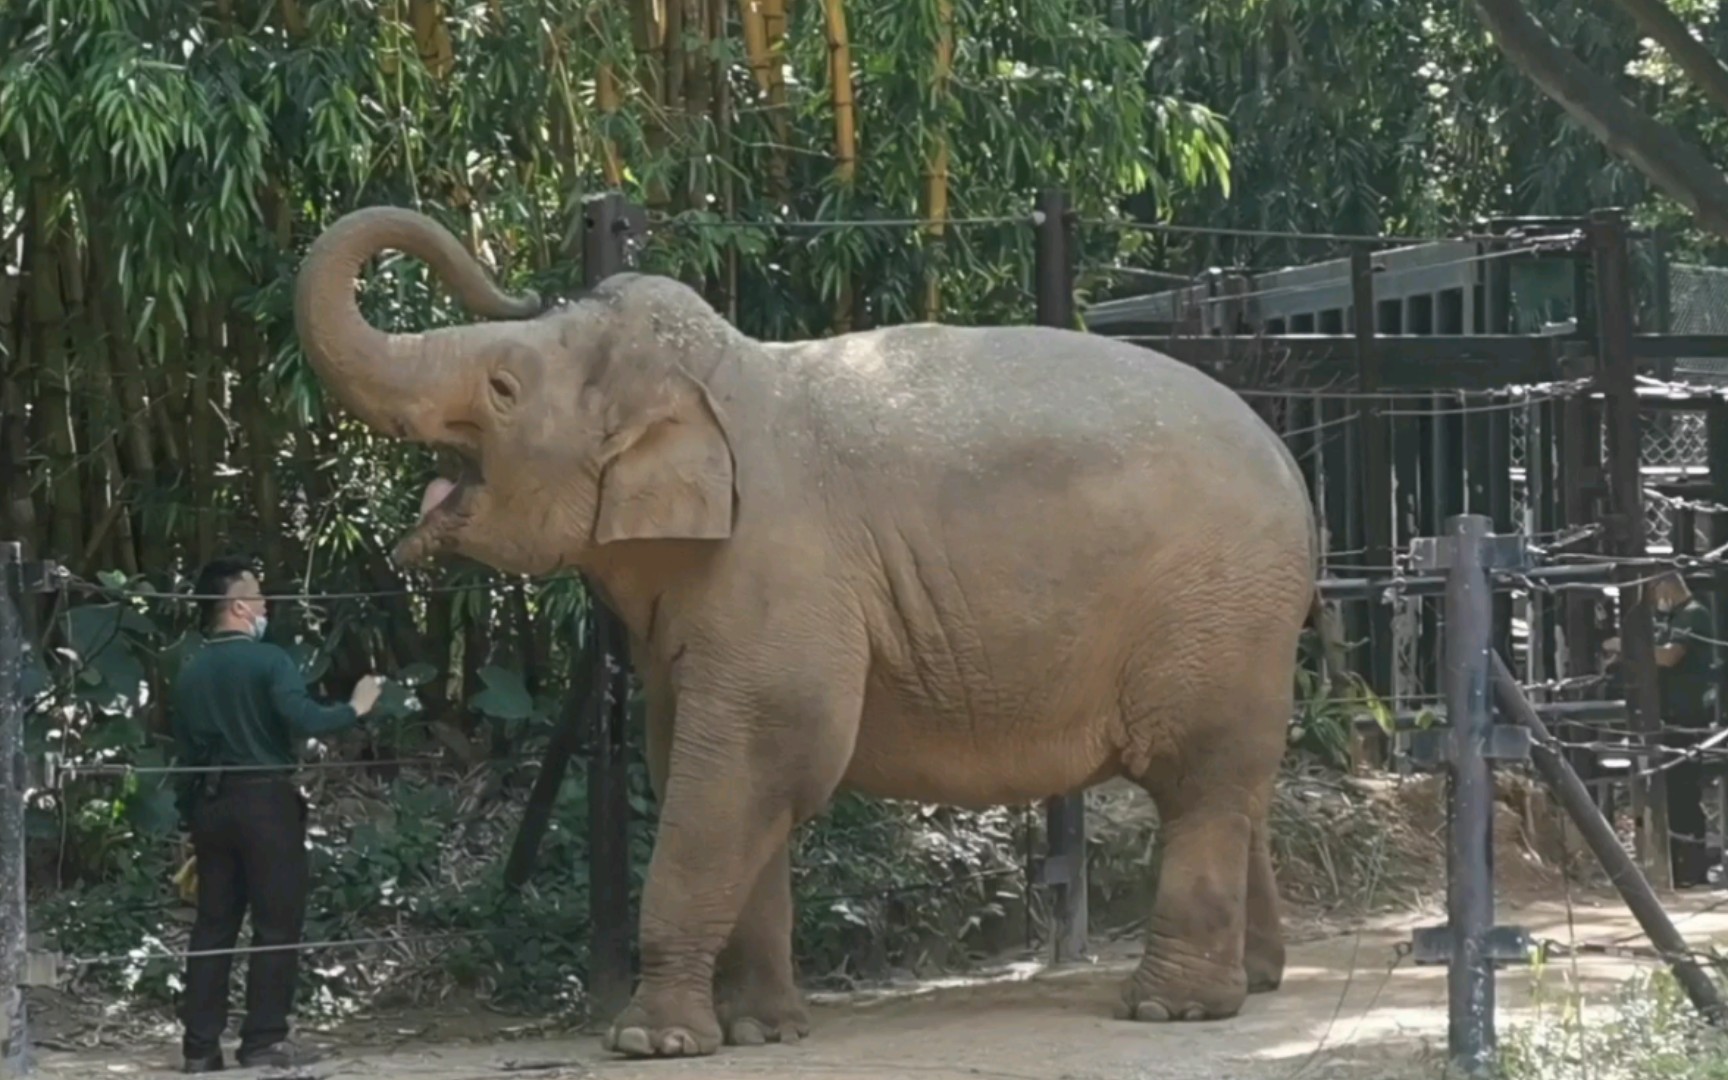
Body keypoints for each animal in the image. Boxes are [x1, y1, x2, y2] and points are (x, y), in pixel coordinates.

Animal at [293, 206, 1320, 1057]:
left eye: (503, 388)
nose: (519, 280)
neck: (719, 376)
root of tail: (1291, 466)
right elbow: (708, 763)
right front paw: (763, 1030)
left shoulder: (779, 562)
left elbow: (761, 753)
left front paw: (654, 1042)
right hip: (1241, 623)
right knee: (1235, 787)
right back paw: (1257, 981)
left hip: (1216, 606)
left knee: (1198, 781)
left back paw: (1170, 1009)